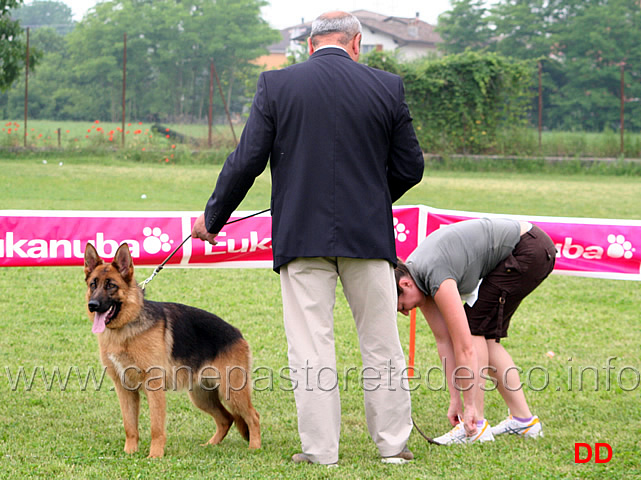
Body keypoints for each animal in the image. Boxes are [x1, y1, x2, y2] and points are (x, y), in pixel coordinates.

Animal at [84, 244, 260, 458]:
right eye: (93, 285)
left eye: (111, 286)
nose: (92, 305)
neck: (127, 327)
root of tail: (237, 333)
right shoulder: (124, 389)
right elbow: (130, 426)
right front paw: (130, 453)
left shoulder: (154, 388)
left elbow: (156, 427)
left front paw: (155, 455)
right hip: (202, 396)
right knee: (226, 419)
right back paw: (211, 445)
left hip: (231, 392)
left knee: (253, 416)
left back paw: (255, 447)